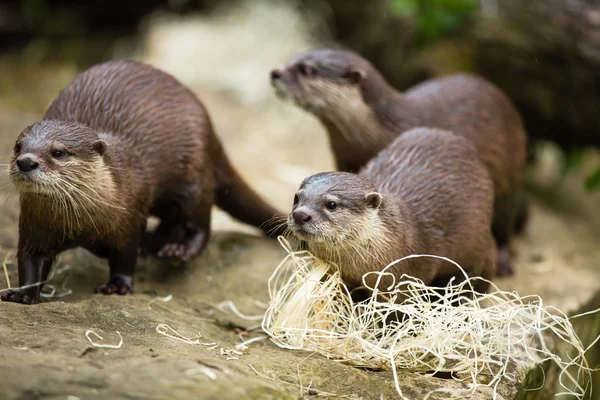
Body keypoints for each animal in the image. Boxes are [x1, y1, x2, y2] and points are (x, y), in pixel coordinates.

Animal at [1, 59, 284, 304]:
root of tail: (210, 126)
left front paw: (117, 285)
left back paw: (178, 250)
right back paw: (155, 243)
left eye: (58, 152)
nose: (26, 161)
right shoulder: (34, 225)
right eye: (18, 146)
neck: (80, 224)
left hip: (195, 174)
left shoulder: (129, 218)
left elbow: (125, 256)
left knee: (200, 223)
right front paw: (22, 293)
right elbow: (30, 260)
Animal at [274, 48, 528, 276]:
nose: (275, 73)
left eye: (306, 69)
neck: (380, 130)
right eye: (293, 58)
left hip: (510, 177)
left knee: (504, 224)